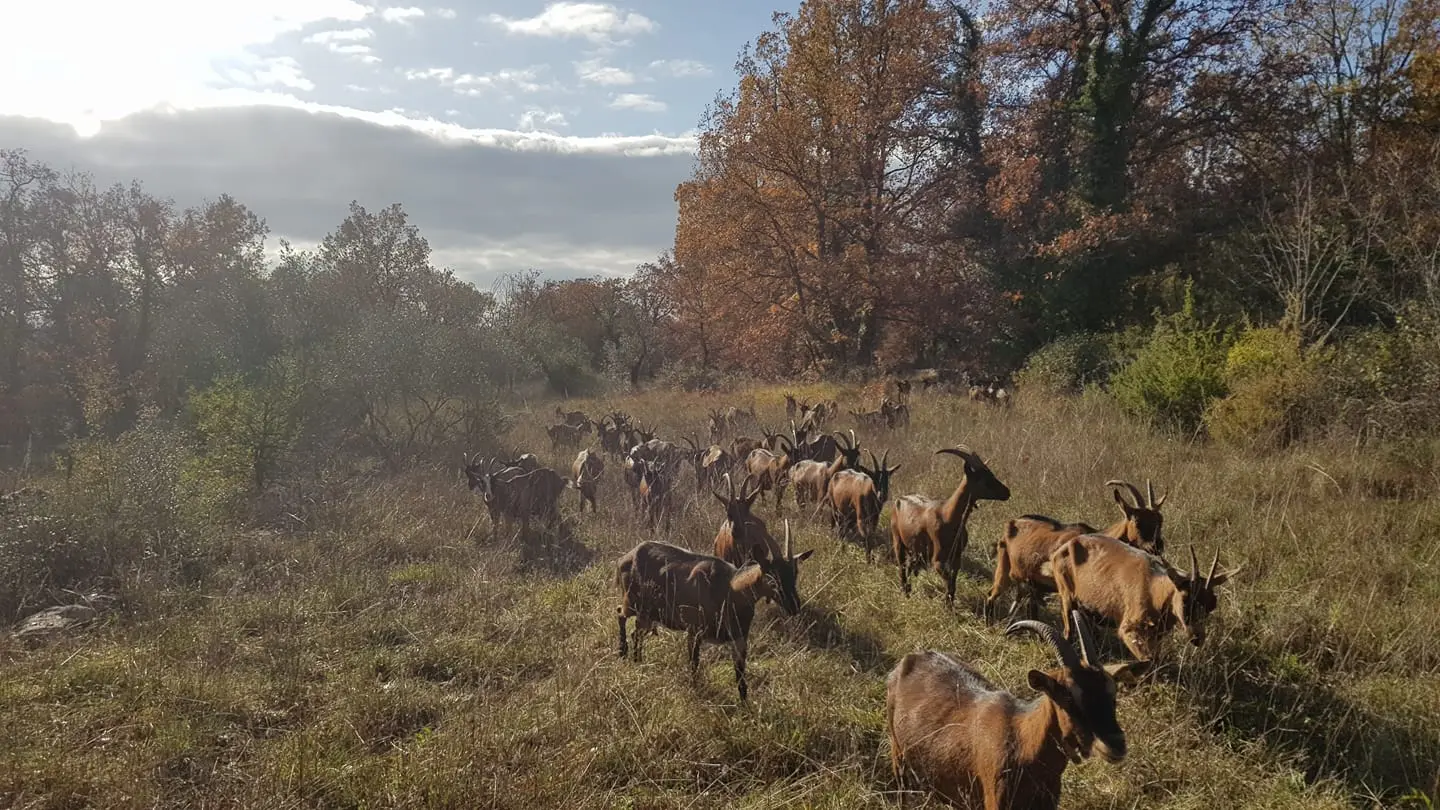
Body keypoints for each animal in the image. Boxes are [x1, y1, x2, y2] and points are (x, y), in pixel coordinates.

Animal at [616, 536, 794, 700]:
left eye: (794, 574)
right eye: (771, 577)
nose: (794, 605)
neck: (730, 589)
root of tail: (622, 560)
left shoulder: (739, 637)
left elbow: (740, 676)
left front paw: (745, 704)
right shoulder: (694, 630)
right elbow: (694, 663)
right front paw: (695, 689)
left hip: (647, 615)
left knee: (635, 632)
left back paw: (637, 659)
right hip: (633, 604)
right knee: (620, 614)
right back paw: (623, 652)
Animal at [887, 441, 1013, 605]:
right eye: (984, 478)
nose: (1007, 492)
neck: (948, 516)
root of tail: (900, 499)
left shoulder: (956, 557)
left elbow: (953, 583)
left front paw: (949, 603)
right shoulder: (938, 559)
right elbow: (948, 582)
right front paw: (947, 605)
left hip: (919, 551)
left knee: (909, 565)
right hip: (898, 539)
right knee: (902, 565)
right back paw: (905, 592)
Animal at [887, 608, 1146, 807]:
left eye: (1112, 693)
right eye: (1068, 696)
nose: (1115, 744)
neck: (1023, 740)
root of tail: (912, 657)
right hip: (898, 754)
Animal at [984, 475, 1163, 619]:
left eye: (1159, 521)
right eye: (1137, 521)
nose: (1156, 547)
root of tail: (1012, 522)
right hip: (1004, 569)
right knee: (991, 595)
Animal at [1048, 533, 1238, 660]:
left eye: (1212, 604)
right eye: (1185, 600)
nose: (1197, 638)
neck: (1155, 588)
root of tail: (1061, 549)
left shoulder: (1157, 635)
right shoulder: (1129, 629)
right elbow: (1149, 661)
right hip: (1066, 595)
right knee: (1068, 629)